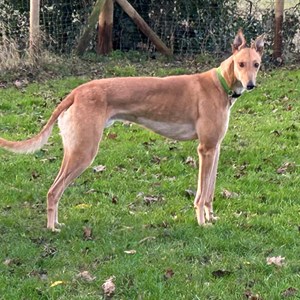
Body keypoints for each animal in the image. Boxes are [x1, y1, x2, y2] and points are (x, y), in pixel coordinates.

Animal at [0, 29, 262, 232]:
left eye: (256, 64)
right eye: (240, 64)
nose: (251, 85)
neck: (220, 84)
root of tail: (76, 92)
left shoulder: (215, 148)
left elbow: (209, 192)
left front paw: (211, 217)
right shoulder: (205, 149)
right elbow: (200, 194)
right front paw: (201, 223)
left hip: (73, 150)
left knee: (54, 189)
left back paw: (56, 224)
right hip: (84, 153)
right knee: (53, 191)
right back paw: (52, 228)